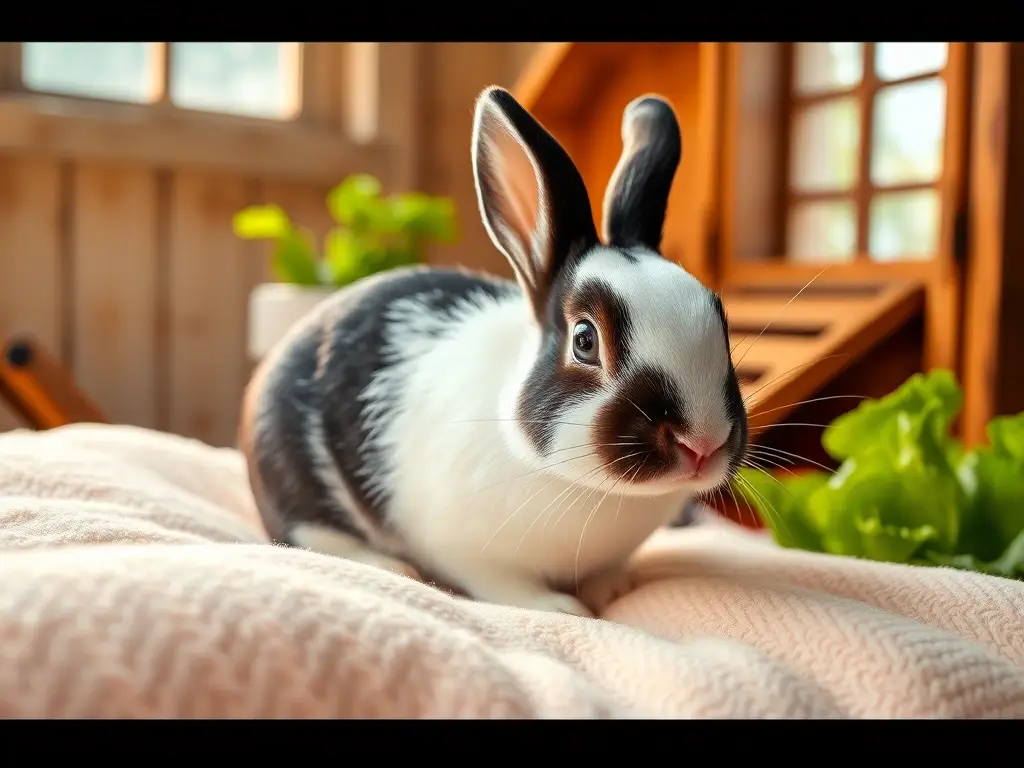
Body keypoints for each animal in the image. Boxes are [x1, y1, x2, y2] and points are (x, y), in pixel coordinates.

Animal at [239, 85, 748, 617]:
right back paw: (389, 566)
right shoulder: (467, 553)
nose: (703, 443)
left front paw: (611, 590)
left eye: (721, 321)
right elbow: (505, 586)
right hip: (290, 474)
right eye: (585, 341)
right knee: (308, 532)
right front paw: (563, 608)